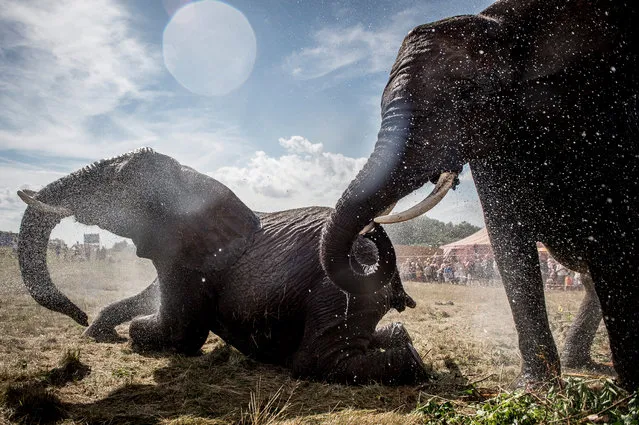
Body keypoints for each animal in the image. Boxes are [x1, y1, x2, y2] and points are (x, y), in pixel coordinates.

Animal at [16, 148, 430, 384]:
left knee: (316, 361)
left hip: (340, 290)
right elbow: (154, 296)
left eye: (118, 182)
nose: (80, 316)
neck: (192, 176)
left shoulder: (192, 264)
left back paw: (411, 362)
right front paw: (98, 333)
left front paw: (128, 334)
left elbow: (181, 334)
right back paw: (399, 338)